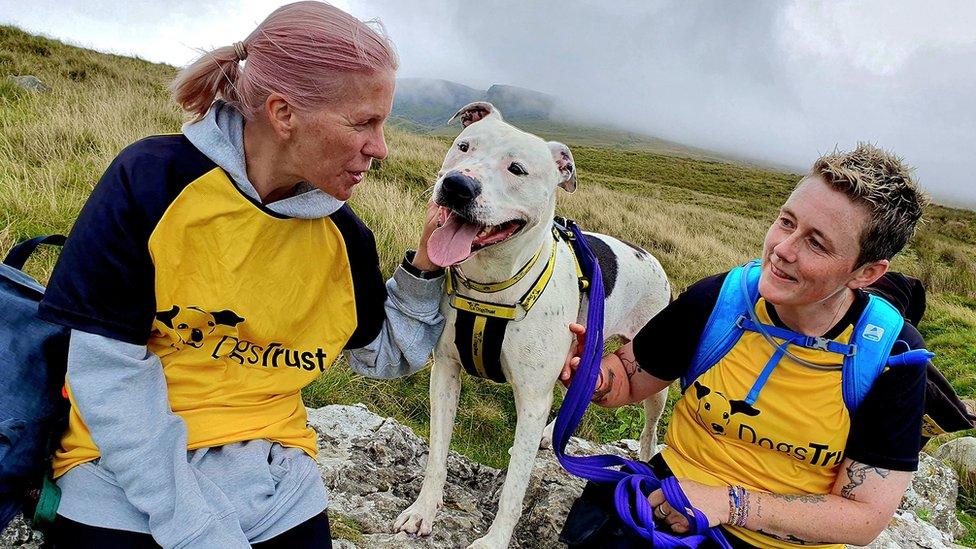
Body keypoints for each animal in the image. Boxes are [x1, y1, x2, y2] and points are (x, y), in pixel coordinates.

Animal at [394, 104, 672, 548]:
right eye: (464, 146)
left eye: (517, 169)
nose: (457, 186)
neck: (491, 286)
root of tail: (650, 255)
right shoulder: (445, 374)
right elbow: (437, 452)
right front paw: (423, 510)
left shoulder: (530, 398)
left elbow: (515, 485)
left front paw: (494, 540)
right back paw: (551, 431)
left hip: (654, 377)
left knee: (649, 426)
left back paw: (644, 462)